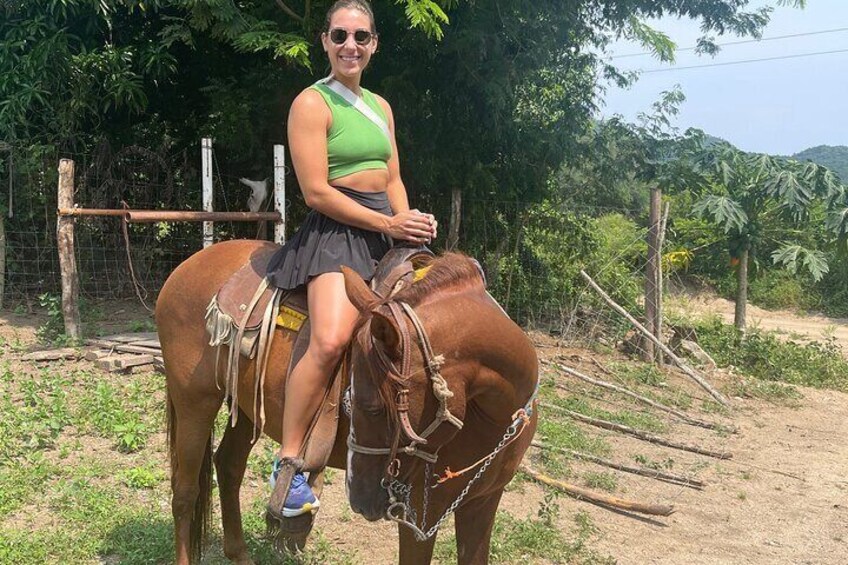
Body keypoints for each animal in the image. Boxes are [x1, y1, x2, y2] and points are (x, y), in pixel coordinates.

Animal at [157, 239, 540, 564]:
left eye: (372, 407)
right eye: (353, 402)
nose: (359, 498)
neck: (494, 415)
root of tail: (185, 267)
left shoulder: (483, 501)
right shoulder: (420, 516)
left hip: (247, 408)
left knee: (228, 467)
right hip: (194, 402)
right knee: (185, 491)